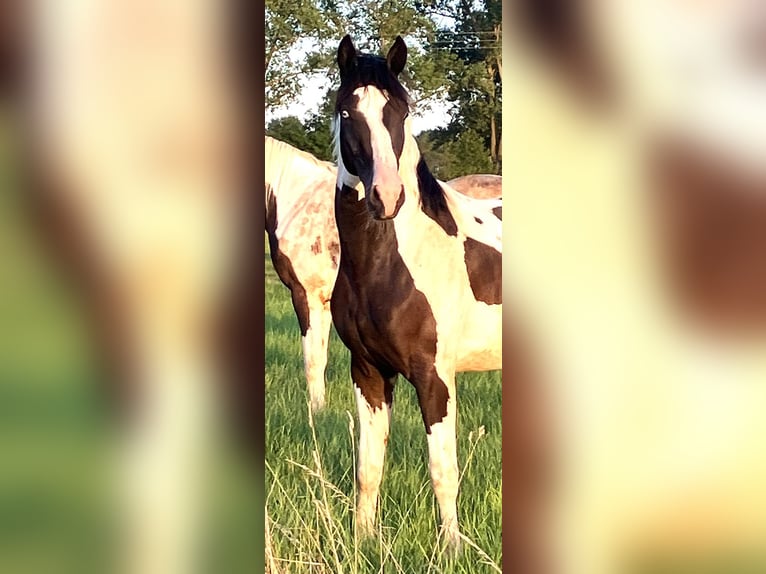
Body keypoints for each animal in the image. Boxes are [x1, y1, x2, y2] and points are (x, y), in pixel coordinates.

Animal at [330, 32, 504, 552]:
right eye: (347, 110)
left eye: (401, 111)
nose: (386, 197)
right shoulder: (368, 372)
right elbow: (368, 468)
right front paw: (363, 540)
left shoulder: (435, 377)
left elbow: (443, 471)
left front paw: (452, 548)